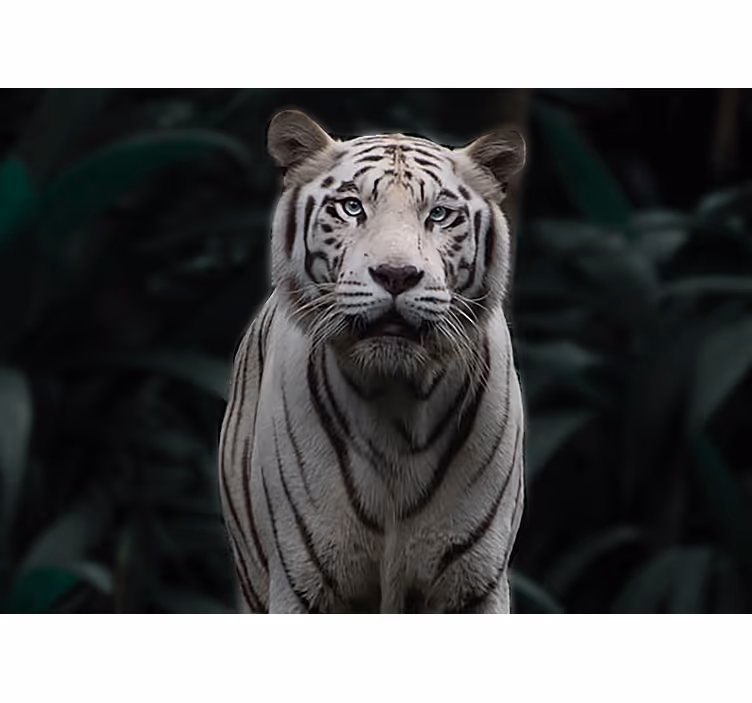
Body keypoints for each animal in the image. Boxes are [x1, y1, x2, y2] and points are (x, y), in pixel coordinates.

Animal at [218, 110, 526, 614]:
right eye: (351, 207)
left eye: (438, 214)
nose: (396, 275)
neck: (398, 401)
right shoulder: (305, 582)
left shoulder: (473, 581)